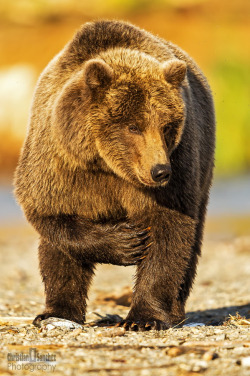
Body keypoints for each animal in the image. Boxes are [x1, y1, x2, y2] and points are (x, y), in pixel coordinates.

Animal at [13, 19, 215, 328]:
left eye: (167, 126)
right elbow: (52, 217)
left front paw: (145, 317)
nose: (160, 171)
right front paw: (126, 242)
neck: (108, 166)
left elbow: (169, 233)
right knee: (56, 253)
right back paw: (57, 311)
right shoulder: (60, 163)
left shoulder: (178, 167)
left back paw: (174, 312)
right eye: (134, 126)